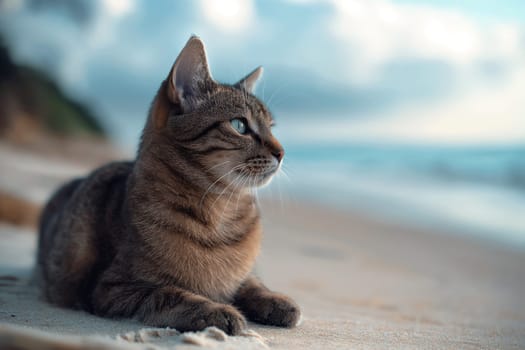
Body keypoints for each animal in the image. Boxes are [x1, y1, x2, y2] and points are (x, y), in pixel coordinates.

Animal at [34, 37, 298, 334]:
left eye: (271, 127)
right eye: (239, 125)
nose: (281, 152)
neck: (221, 211)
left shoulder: (244, 274)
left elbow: (250, 282)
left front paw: (274, 299)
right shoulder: (109, 288)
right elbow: (168, 294)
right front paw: (216, 310)